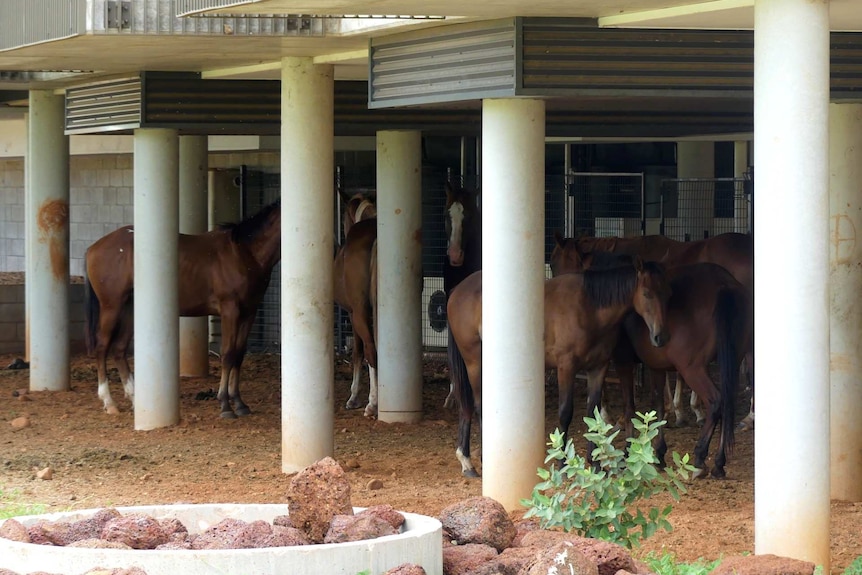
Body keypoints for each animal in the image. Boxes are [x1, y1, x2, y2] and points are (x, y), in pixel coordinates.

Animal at [84, 200, 282, 416]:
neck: (244, 253)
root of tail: (93, 248)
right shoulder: (230, 310)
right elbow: (228, 354)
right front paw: (225, 405)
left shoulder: (249, 312)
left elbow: (239, 354)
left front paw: (239, 403)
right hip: (112, 306)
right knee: (102, 347)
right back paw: (109, 402)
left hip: (130, 308)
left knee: (119, 349)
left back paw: (136, 401)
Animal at [448, 260, 672, 476]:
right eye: (647, 293)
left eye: (666, 293)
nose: (660, 337)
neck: (589, 310)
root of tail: (457, 291)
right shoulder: (566, 366)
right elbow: (565, 412)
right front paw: (563, 464)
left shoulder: (598, 368)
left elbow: (593, 413)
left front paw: (596, 464)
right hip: (474, 362)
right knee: (478, 406)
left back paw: (467, 461)